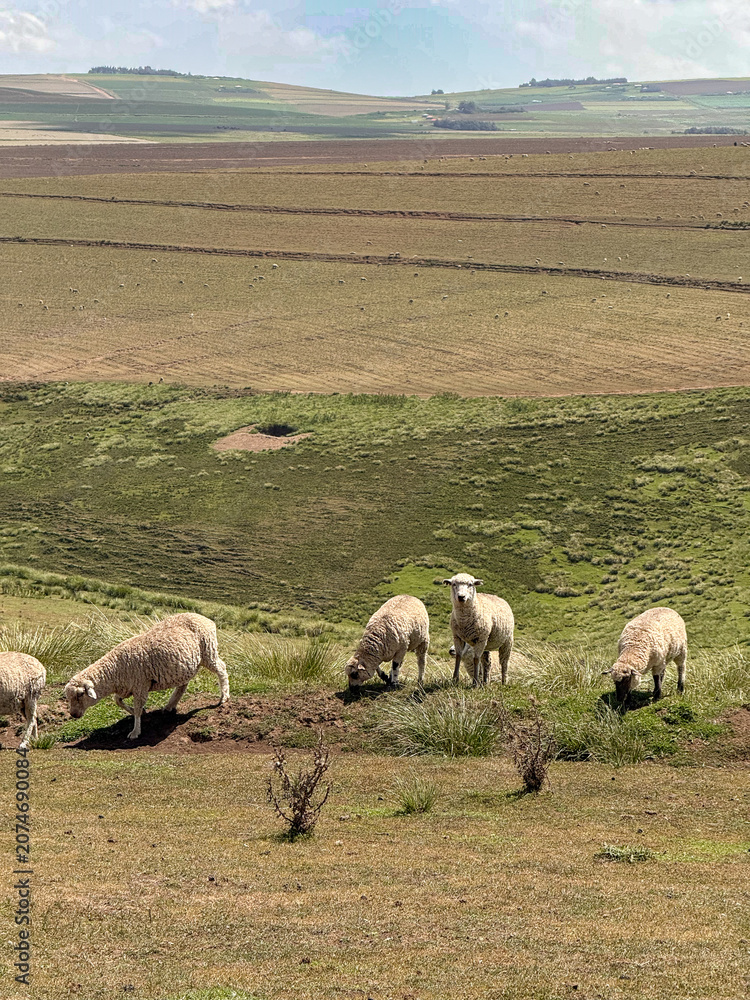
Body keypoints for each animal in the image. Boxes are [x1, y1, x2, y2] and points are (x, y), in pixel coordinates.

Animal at [64, 613, 229, 740]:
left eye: (80, 694)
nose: (73, 714)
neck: (115, 669)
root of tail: (206, 619)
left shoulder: (140, 686)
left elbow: (137, 708)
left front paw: (135, 731)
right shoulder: (127, 687)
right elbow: (118, 701)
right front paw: (137, 713)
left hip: (208, 651)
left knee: (221, 669)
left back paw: (224, 696)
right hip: (184, 666)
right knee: (183, 685)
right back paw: (170, 705)